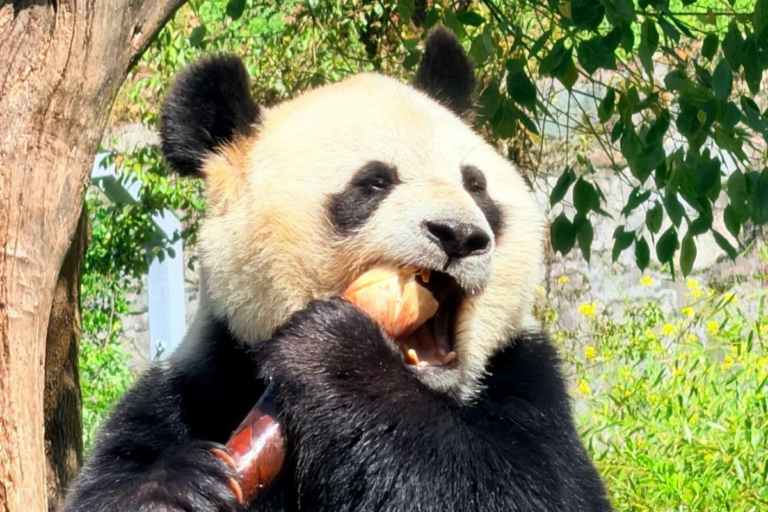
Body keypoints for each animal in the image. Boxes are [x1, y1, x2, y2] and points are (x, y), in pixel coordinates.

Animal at [64, 28, 611, 512]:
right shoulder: (201, 383)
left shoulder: (528, 379)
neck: (436, 393)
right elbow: (113, 474)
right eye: (373, 183)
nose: (459, 235)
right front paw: (177, 490)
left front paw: (333, 350)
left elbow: (531, 489)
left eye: (475, 185)